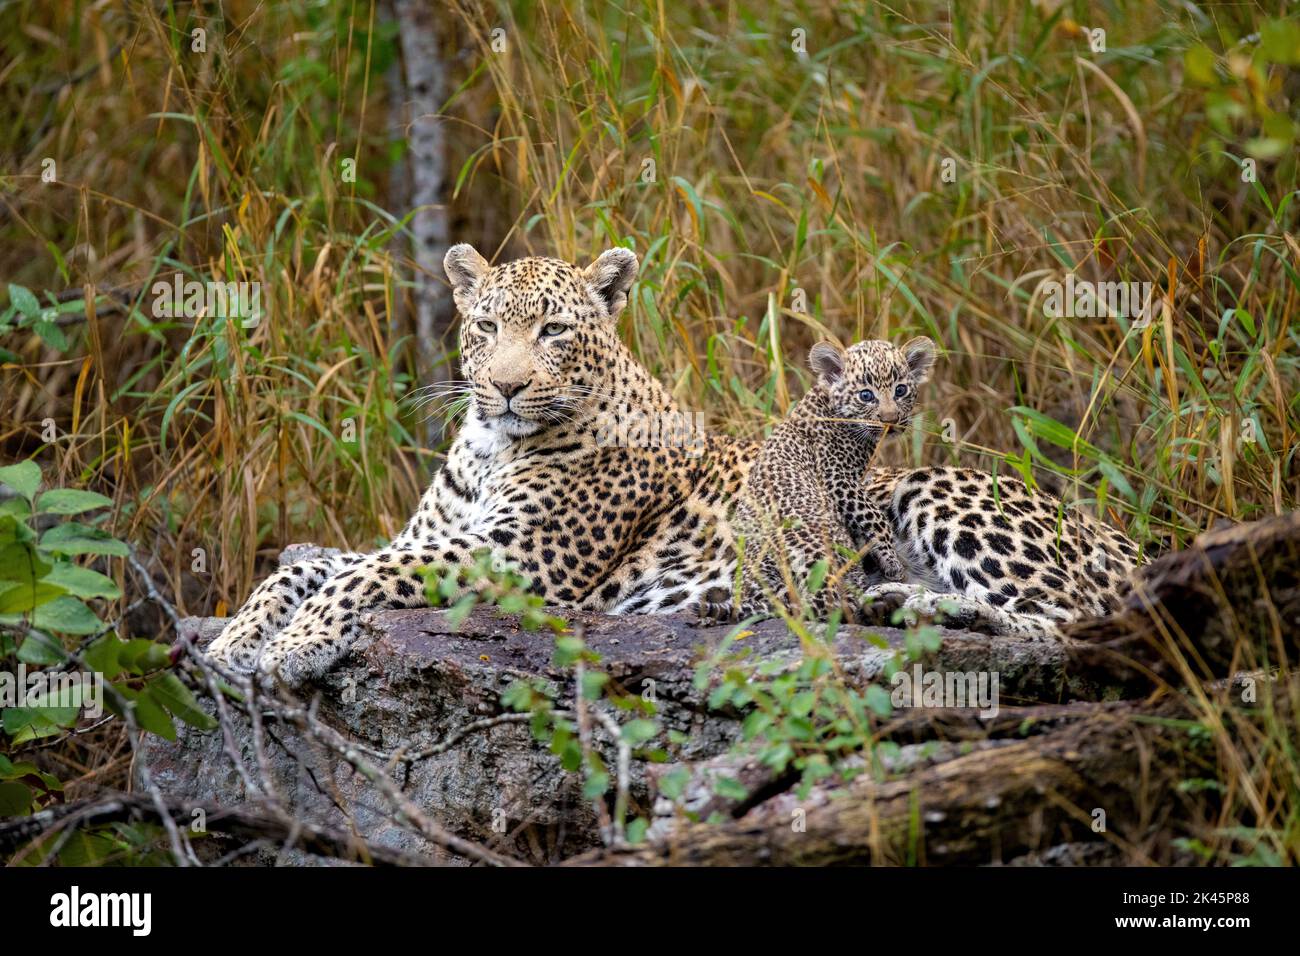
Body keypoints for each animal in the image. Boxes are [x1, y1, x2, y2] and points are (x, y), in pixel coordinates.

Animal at [701, 336, 937, 622]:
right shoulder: (837, 477)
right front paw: (892, 564)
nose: (890, 420)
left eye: (900, 390)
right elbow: (874, 517)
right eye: (866, 395)